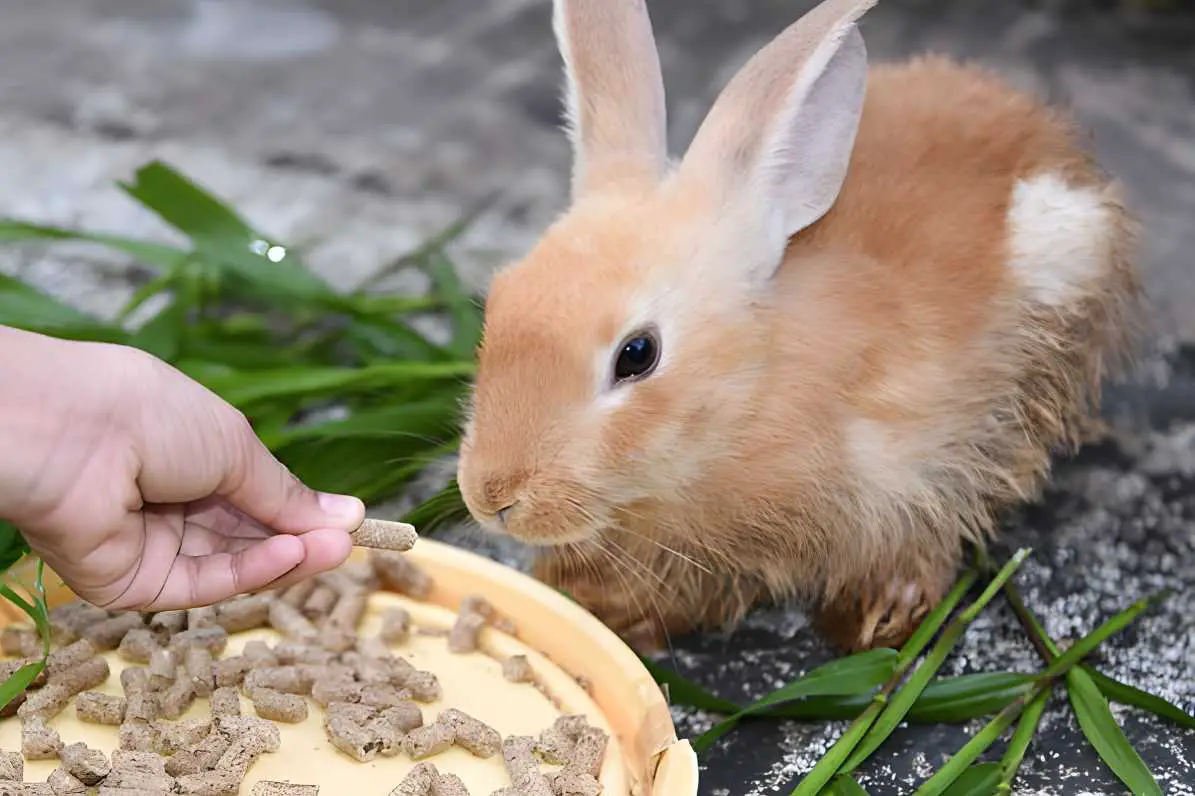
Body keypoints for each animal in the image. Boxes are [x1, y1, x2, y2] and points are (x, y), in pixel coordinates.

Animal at [451, 0, 1142, 650]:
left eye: (637, 354)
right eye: (499, 300)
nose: (494, 497)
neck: (750, 394)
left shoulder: (919, 470)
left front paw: (875, 621)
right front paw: (595, 600)